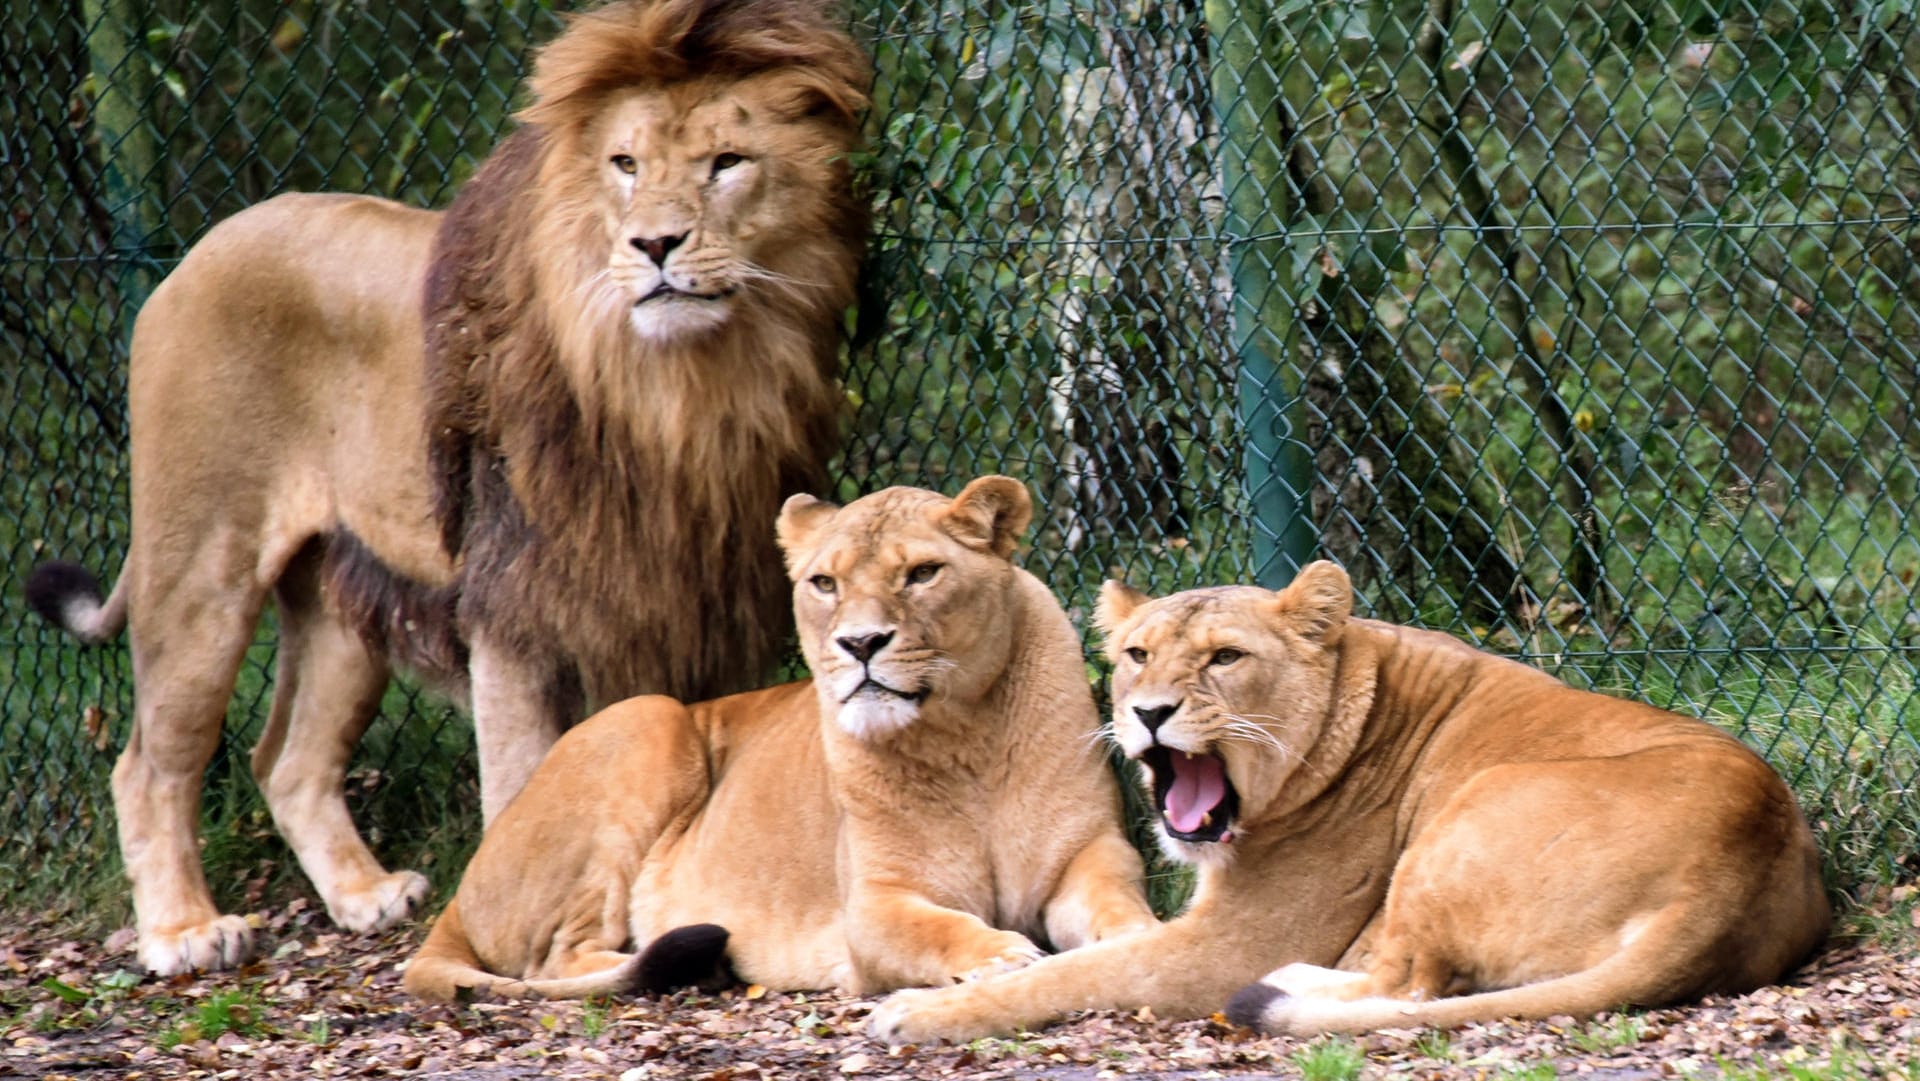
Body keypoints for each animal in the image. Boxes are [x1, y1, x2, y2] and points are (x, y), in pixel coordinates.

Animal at [28, 0, 871, 983]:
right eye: (624, 164)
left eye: (726, 162)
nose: (654, 245)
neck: (679, 393)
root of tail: (194, 252)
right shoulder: (514, 607)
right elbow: (522, 783)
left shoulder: (694, 602)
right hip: (200, 562)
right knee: (149, 762)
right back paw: (185, 931)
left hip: (344, 598)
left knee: (288, 760)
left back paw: (364, 894)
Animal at [393, 478, 1152, 1006]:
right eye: (825, 583)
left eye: (922, 573)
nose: (861, 643)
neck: (964, 736)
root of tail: (464, 885)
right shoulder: (872, 905)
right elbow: (940, 929)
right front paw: (1004, 956)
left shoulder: (1089, 852)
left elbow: (1117, 901)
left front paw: (1138, 939)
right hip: (648, 717)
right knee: (558, 958)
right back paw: (704, 961)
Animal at [871, 556, 1827, 1036]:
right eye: (1138, 655)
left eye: (1224, 658)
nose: (1148, 712)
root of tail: (1726, 879)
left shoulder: (1221, 946)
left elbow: (1068, 972)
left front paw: (921, 1010)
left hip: (1472, 804)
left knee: (1412, 983)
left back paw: (1285, 981)